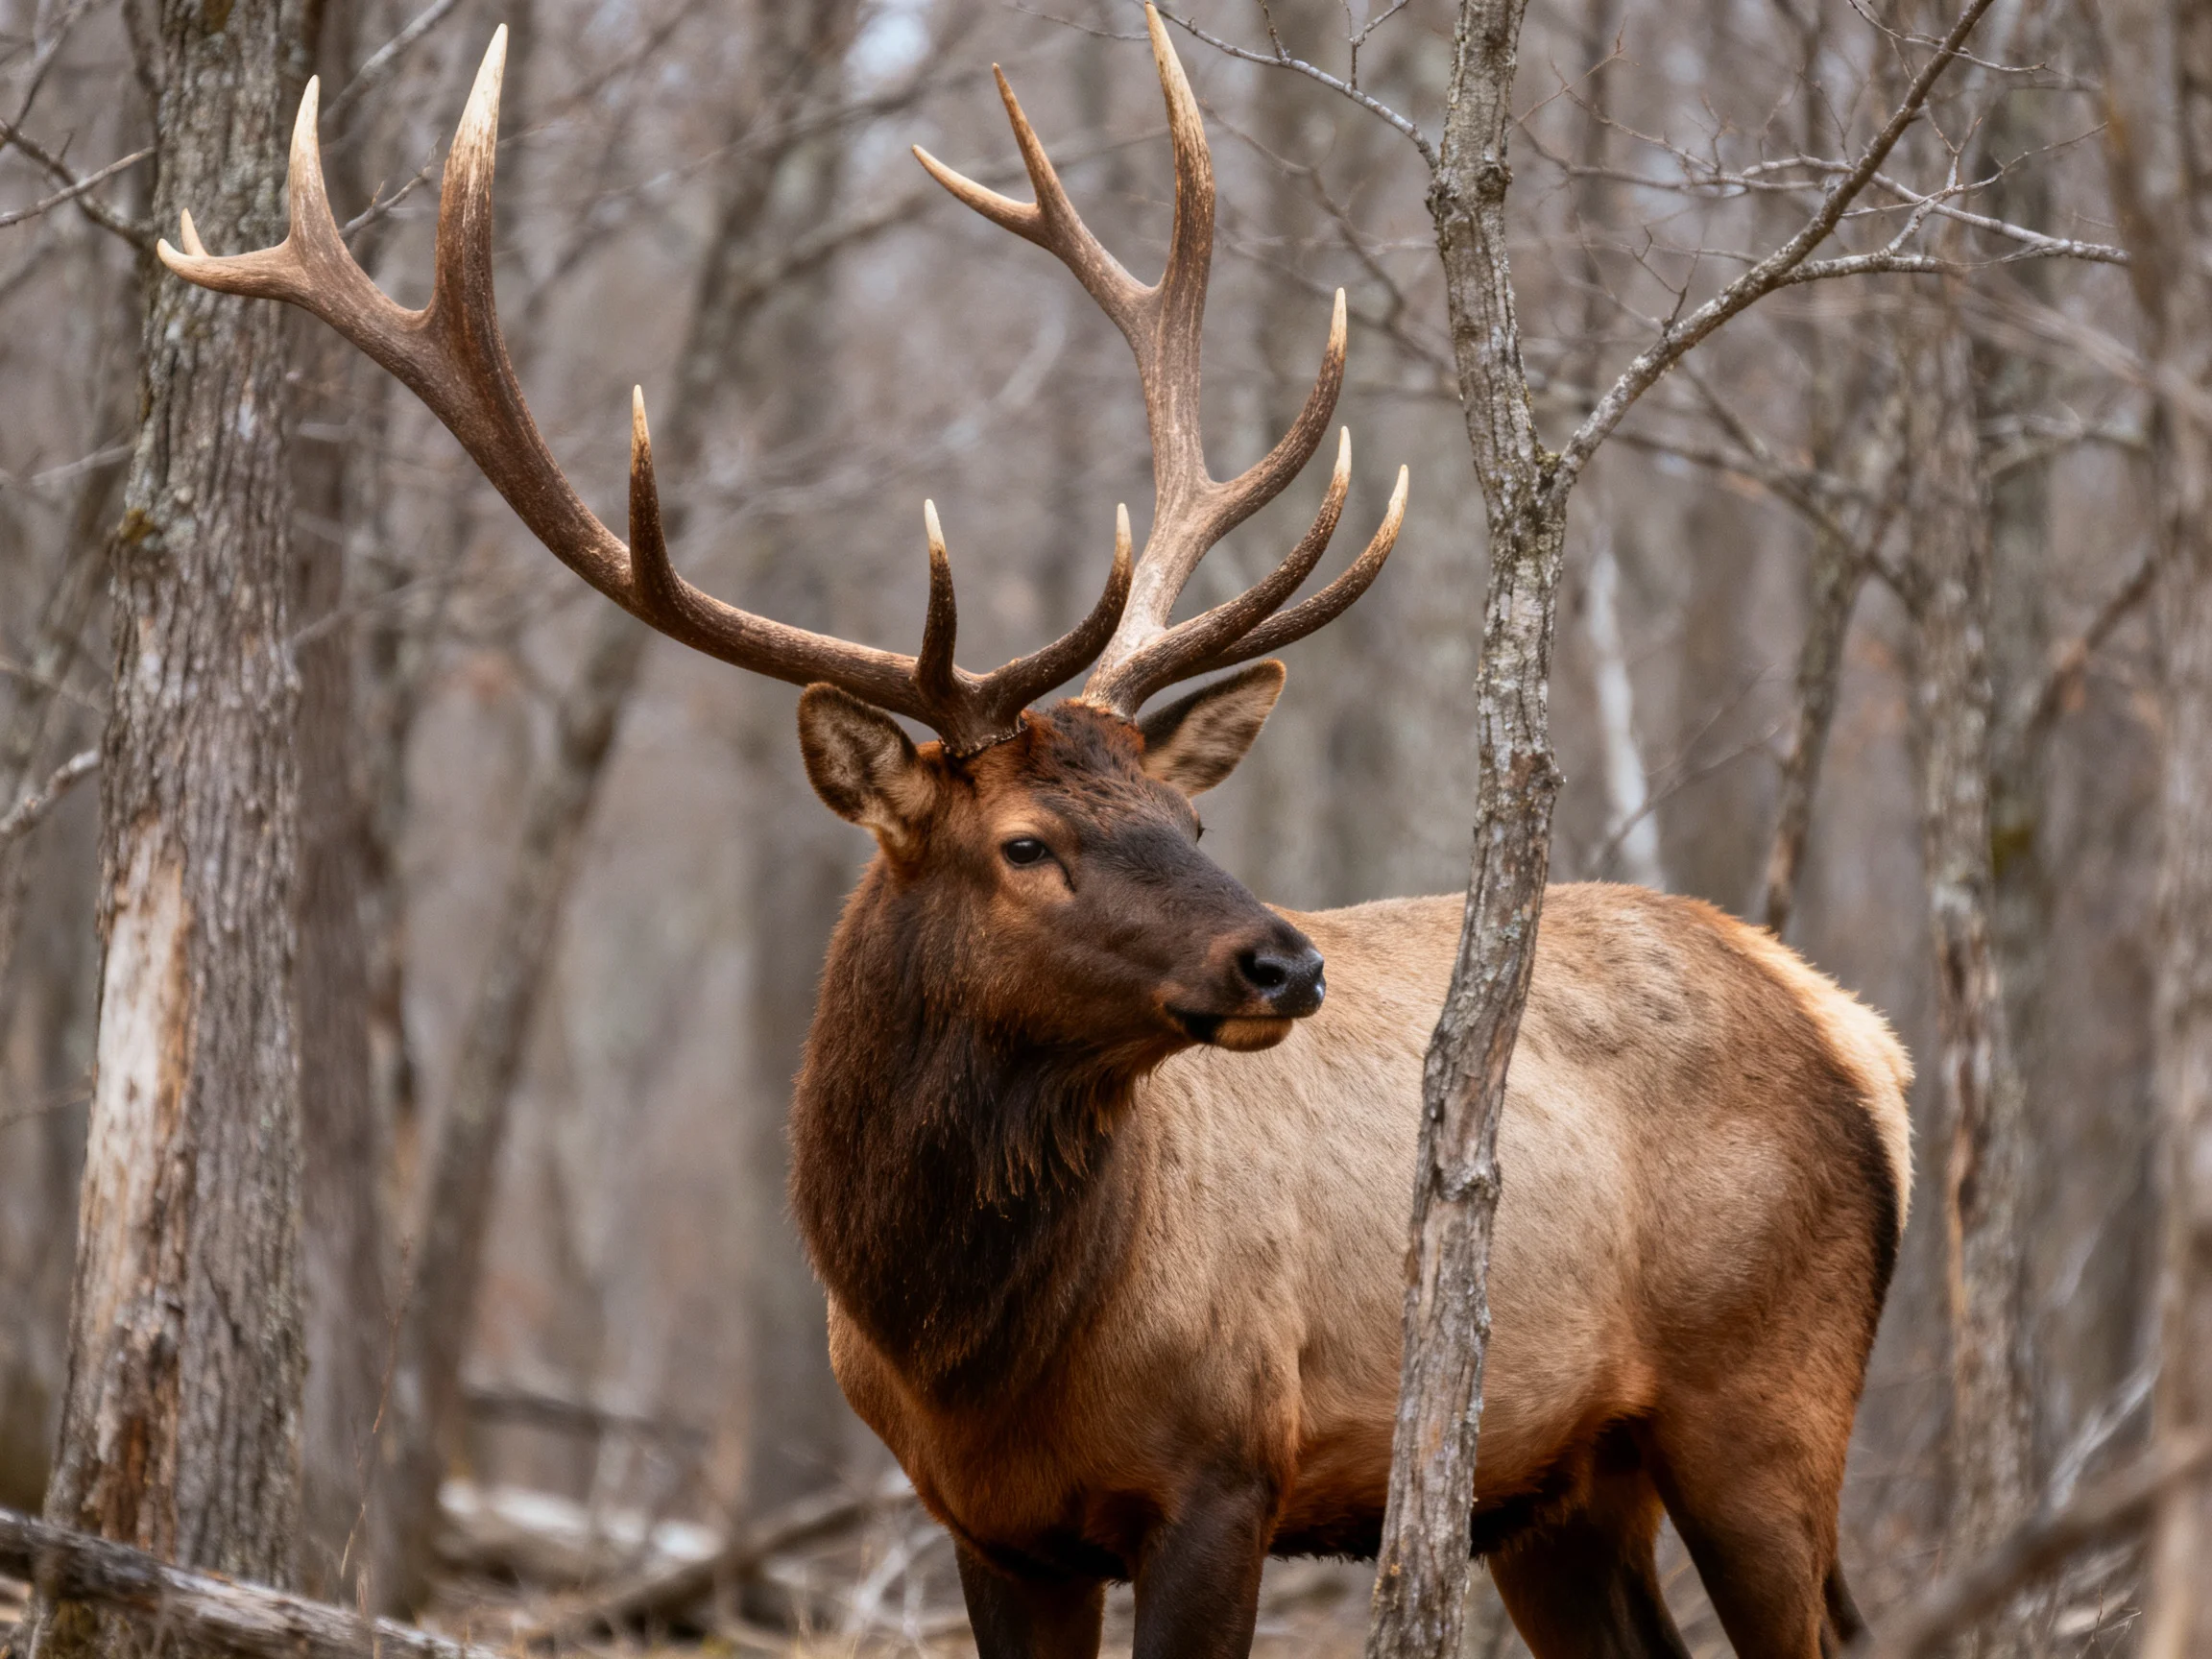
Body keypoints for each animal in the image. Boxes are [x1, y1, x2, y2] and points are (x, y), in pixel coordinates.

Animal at [161, 10, 1913, 1656]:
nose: (1282, 964)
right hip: (1553, 1482)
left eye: (1186, 806)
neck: (965, 1346)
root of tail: (1853, 1028)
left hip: (1765, 1402)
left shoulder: (1225, 1473)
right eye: (1021, 843)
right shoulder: (988, 1524)